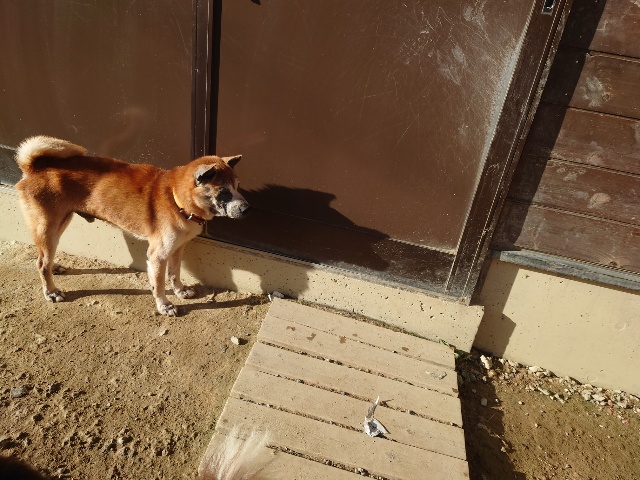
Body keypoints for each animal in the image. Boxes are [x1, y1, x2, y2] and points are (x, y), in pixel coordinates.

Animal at [15, 135, 250, 316]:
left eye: (238, 186)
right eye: (224, 192)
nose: (247, 209)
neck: (176, 198)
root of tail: (34, 167)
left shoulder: (177, 248)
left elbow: (175, 272)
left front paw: (180, 290)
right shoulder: (157, 255)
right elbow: (159, 284)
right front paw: (164, 305)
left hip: (59, 224)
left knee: (44, 258)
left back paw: (54, 267)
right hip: (48, 227)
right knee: (41, 263)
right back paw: (51, 291)